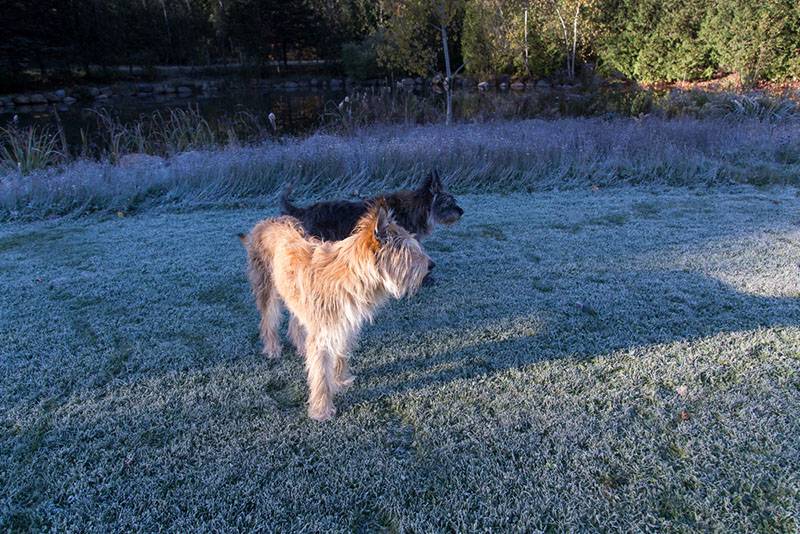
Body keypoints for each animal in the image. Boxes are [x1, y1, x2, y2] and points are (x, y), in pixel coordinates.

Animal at [241, 204, 432, 422]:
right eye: (410, 251)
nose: (431, 265)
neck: (353, 275)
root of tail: (265, 222)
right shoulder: (323, 332)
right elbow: (321, 374)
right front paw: (322, 410)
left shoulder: (344, 323)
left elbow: (340, 353)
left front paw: (340, 380)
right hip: (266, 286)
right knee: (268, 319)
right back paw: (272, 348)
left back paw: (301, 346)